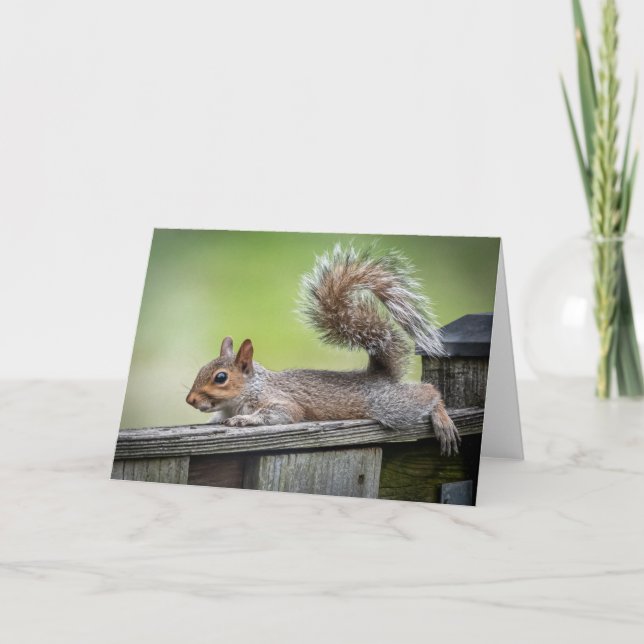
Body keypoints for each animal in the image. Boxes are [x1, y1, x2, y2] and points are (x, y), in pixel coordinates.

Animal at [186, 245, 460, 455]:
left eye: (221, 377)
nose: (190, 400)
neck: (250, 388)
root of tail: (378, 375)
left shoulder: (281, 401)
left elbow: (282, 412)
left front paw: (244, 419)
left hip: (389, 405)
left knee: (428, 392)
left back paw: (442, 418)